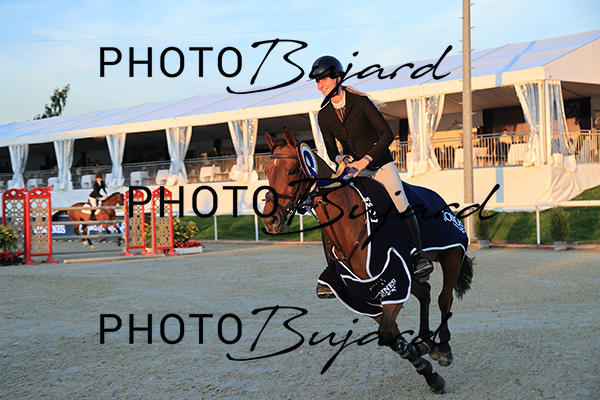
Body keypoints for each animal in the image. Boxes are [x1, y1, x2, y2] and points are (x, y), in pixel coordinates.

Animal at [261, 128, 474, 394]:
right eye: (267, 172)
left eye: (291, 171)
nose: (271, 221)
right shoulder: (366, 294)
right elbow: (391, 335)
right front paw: (426, 367)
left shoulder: (392, 281)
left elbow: (389, 334)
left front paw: (428, 365)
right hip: (413, 274)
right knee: (425, 292)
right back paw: (427, 342)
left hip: (451, 255)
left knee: (444, 299)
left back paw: (443, 347)